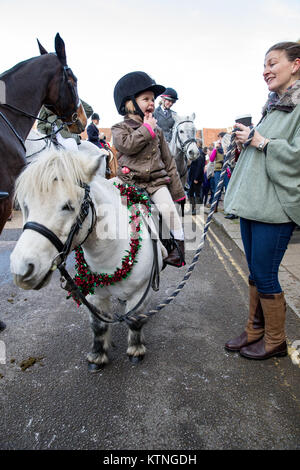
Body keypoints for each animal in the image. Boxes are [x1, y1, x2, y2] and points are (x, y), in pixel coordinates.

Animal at [9, 149, 164, 372]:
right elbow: (98, 326)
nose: (22, 269)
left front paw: (136, 350)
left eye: (68, 206)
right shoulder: (94, 295)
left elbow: (134, 321)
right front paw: (97, 356)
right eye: (26, 205)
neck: (113, 254)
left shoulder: (141, 292)